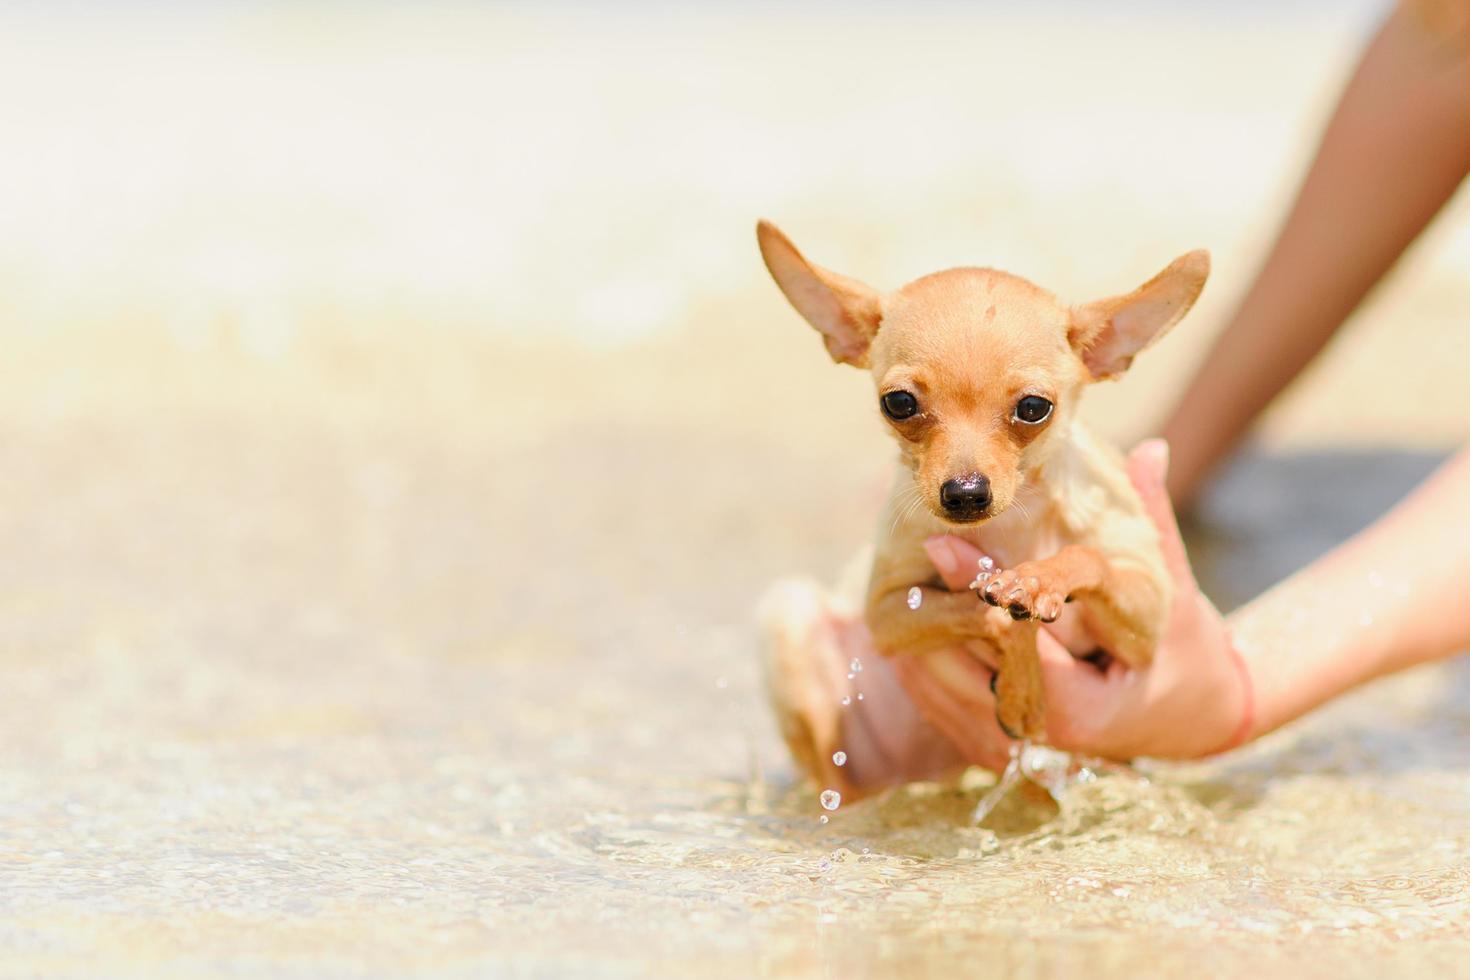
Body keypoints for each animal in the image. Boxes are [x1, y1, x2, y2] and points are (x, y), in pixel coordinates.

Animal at [758, 221, 1205, 743]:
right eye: (899, 403)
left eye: (1033, 408)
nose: (966, 493)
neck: (1013, 528)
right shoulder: (886, 611)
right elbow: (981, 612)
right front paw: (1022, 688)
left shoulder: (1147, 624)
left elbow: (1087, 556)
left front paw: (1035, 580)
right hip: (790, 618)